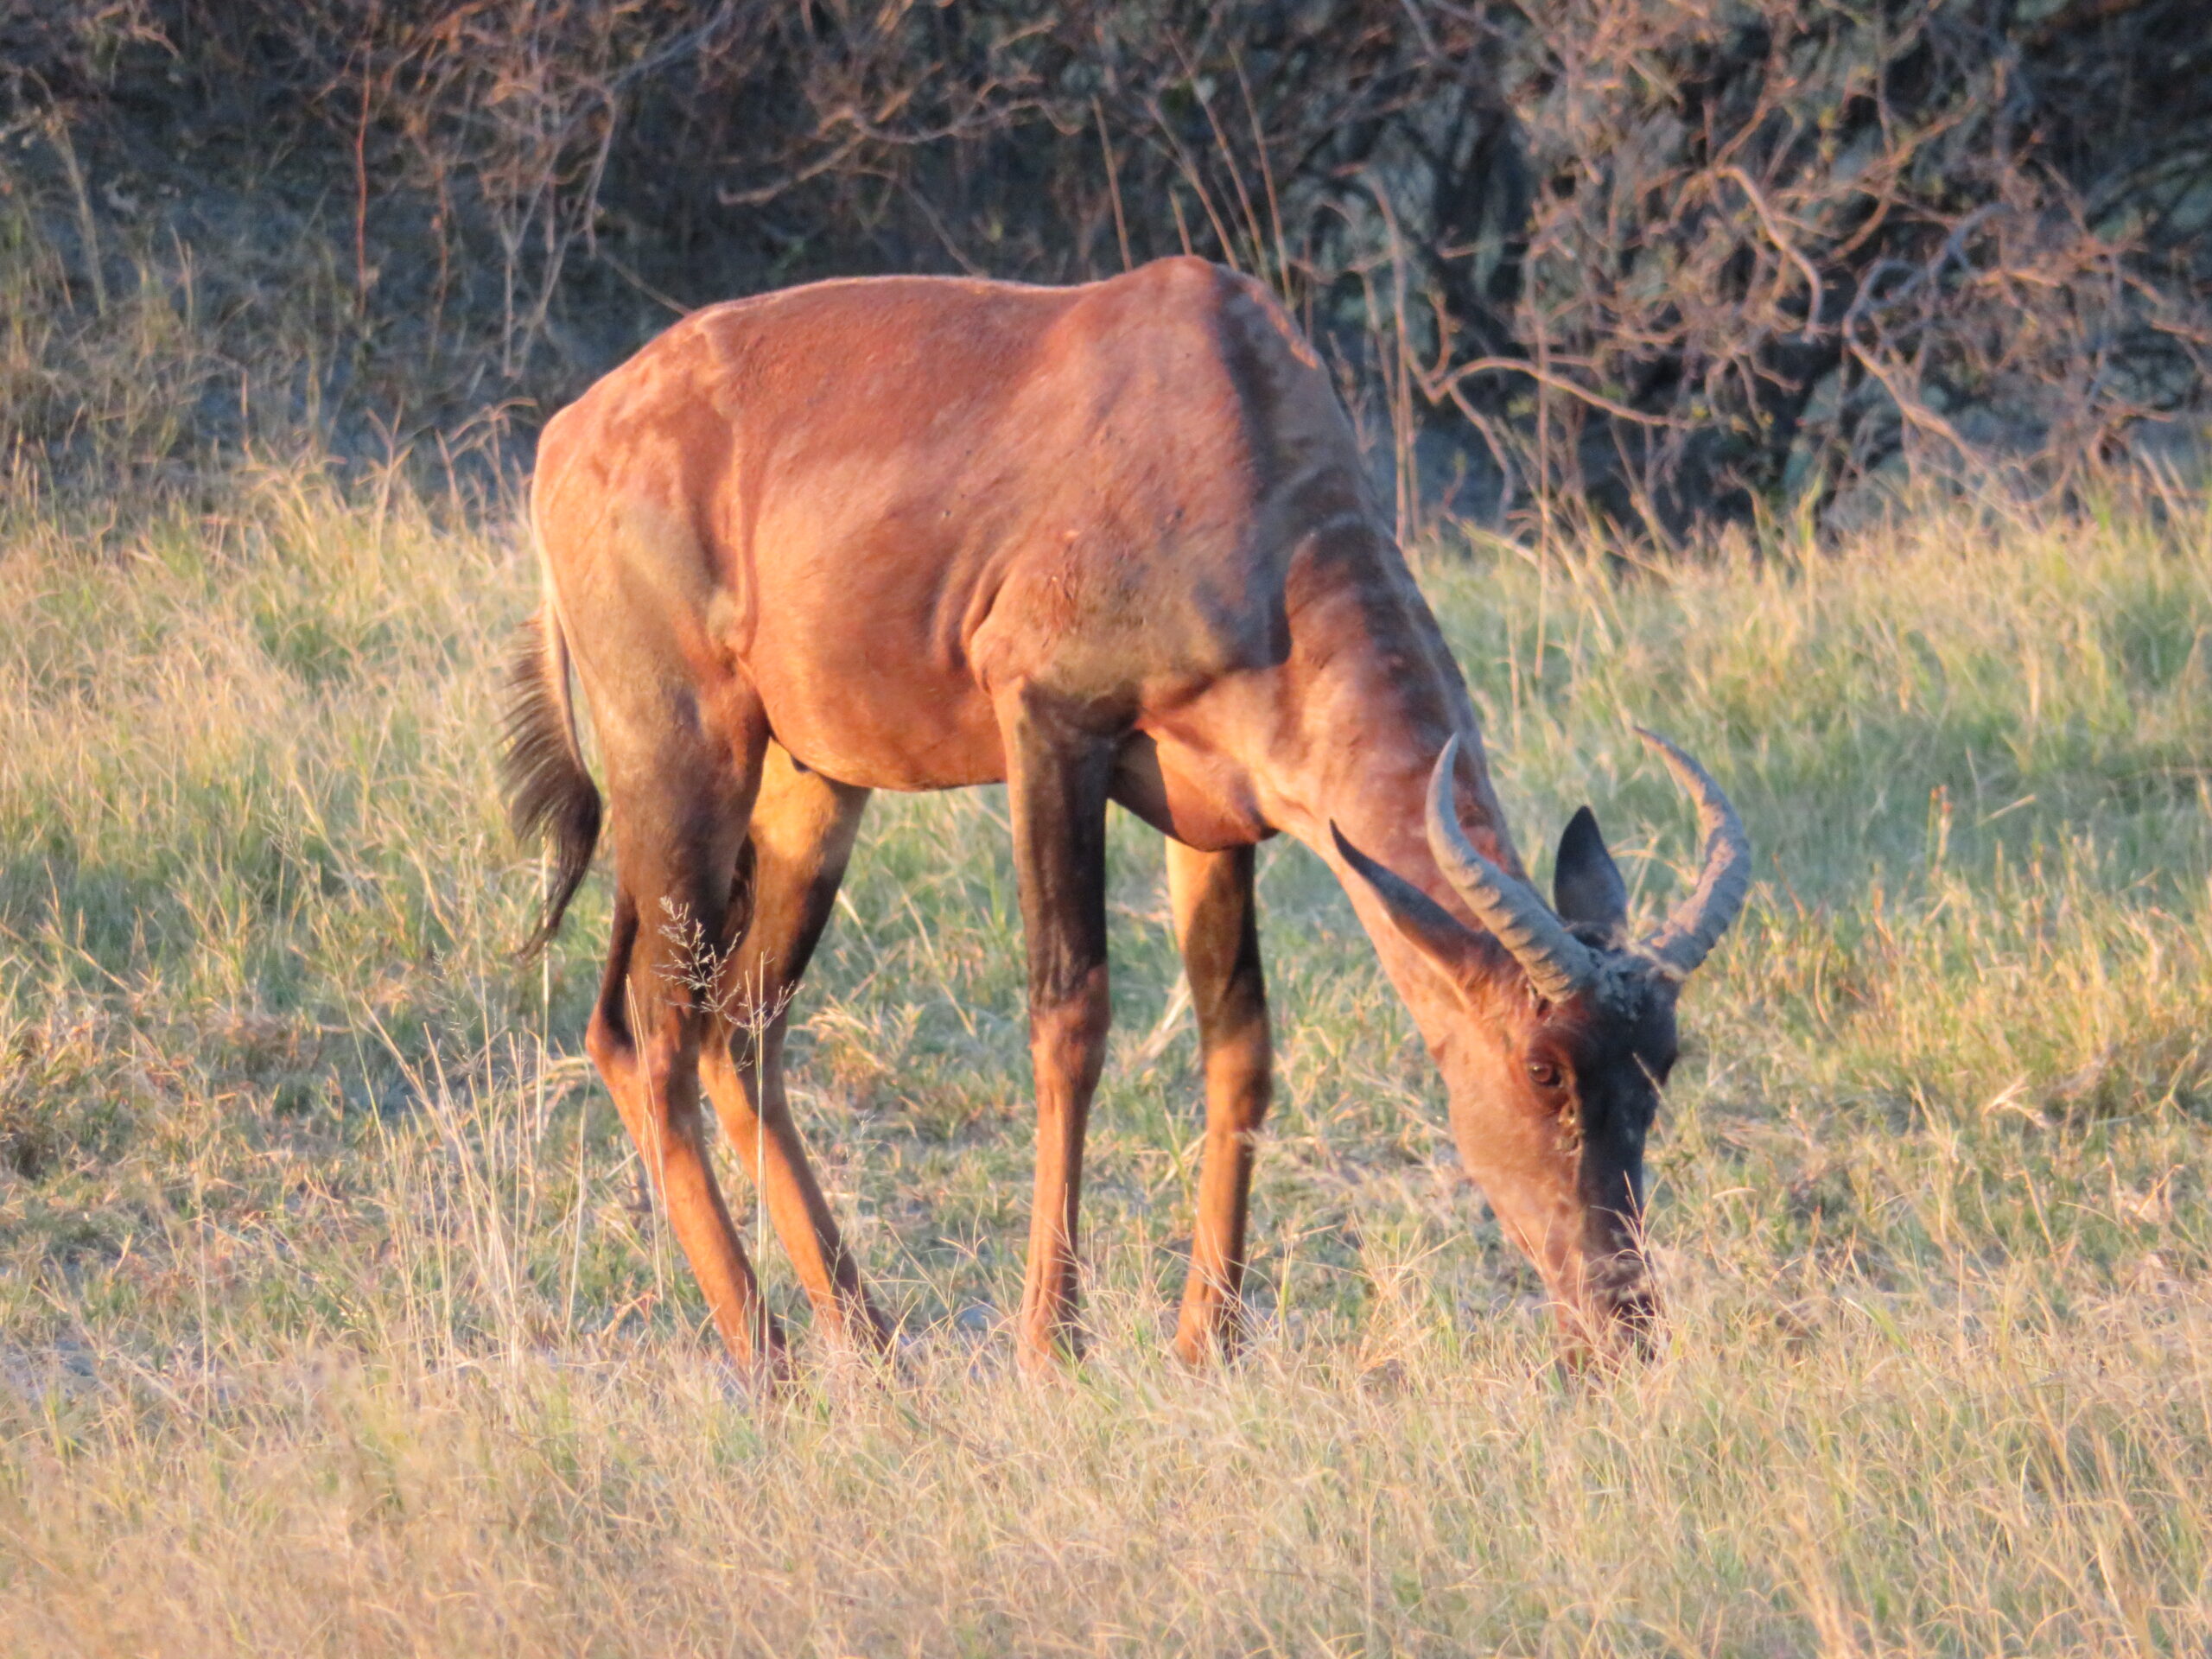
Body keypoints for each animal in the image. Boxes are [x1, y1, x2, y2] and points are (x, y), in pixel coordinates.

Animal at [502, 256, 1743, 1380]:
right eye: (1543, 1068)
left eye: (1662, 1063)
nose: (1623, 1333)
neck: (1220, 415)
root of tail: (566, 435)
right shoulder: (1049, 723)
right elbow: (1071, 1020)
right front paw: (1054, 1346)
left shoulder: (1217, 822)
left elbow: (1239, 1047)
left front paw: (1208, 1342)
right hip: (685, 756)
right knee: (649, 1032)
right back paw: (766, 1360)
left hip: (813, 784)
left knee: (739, 1025)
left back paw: (876, 1347)